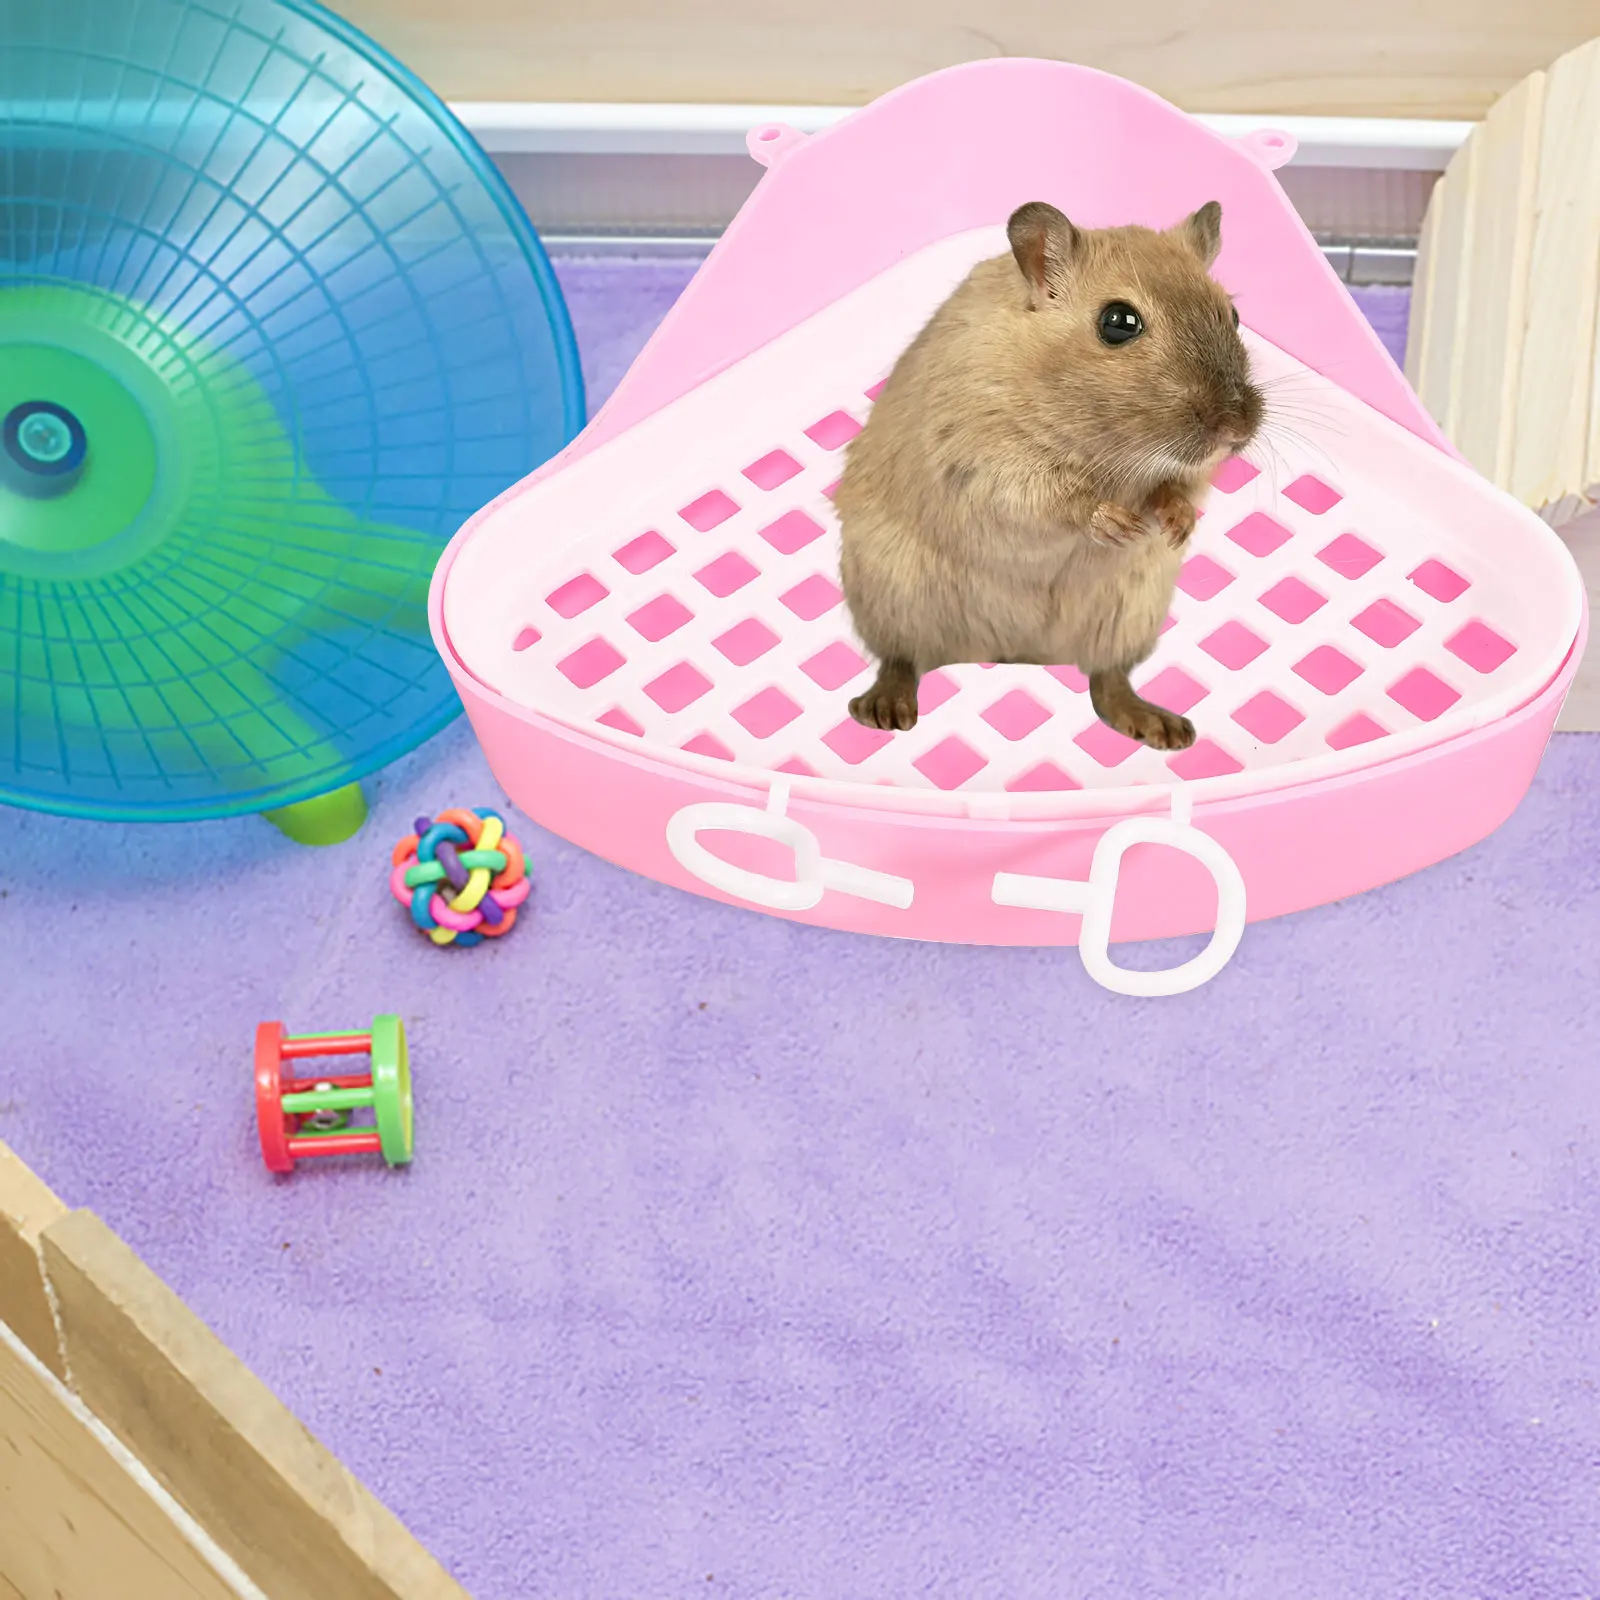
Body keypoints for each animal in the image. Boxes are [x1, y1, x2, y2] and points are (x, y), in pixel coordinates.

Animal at [835, 199, 1263, 750]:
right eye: (1118, 322)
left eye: (1234, 315)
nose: (1236, 430)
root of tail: (1016, 653)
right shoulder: (986, 459)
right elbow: (1058, 500)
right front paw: (1120, 525)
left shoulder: (1185, 473)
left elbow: (1178, 488)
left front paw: (1174, 526)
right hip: (892, 599)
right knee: (901, 661)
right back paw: (884, 711)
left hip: (1126, 616)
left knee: (1107, 681)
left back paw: (1165, 729)